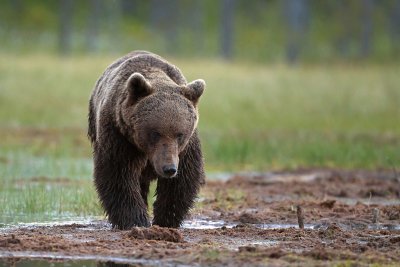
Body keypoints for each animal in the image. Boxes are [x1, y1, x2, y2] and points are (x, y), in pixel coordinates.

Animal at [88, 50, 205, 230]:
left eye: (180, 134)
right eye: (155, 133)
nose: (169, 169)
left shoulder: (185, 149)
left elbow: (182, 180)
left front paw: (166, 219)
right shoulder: (119, 136)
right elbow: (119, 175)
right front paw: (136, 220)